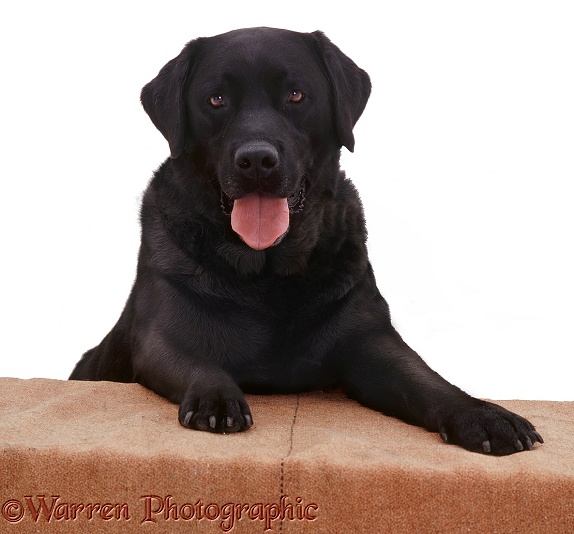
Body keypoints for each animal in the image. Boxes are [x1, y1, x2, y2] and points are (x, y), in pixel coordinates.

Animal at [71, 27, 544, 456]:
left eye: (296, 95)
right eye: (216, 100)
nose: (256, 160)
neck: (267, 271)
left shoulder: (368, 339)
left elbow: (425, 378)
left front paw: (481, 415)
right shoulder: (161, 336)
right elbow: (197, 362)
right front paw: (216, 399)